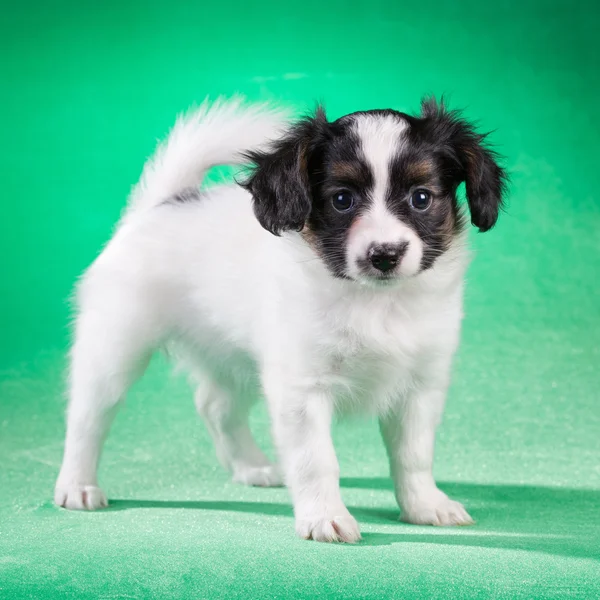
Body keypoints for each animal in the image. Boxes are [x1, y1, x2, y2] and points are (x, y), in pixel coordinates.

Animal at [55, 96, 506, 540]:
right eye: (342, 200)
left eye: (421, 198)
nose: (385, 254)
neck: (374, 302)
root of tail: (164, 203)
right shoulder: (301, 389)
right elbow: (316, 459)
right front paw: (325, 517)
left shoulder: (421, 385)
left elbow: (414, 453)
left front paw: (424, 505)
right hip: (116, 342)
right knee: (88, 415)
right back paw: (77, 485)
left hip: (233, 355)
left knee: (216, 405)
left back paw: (251, 466)